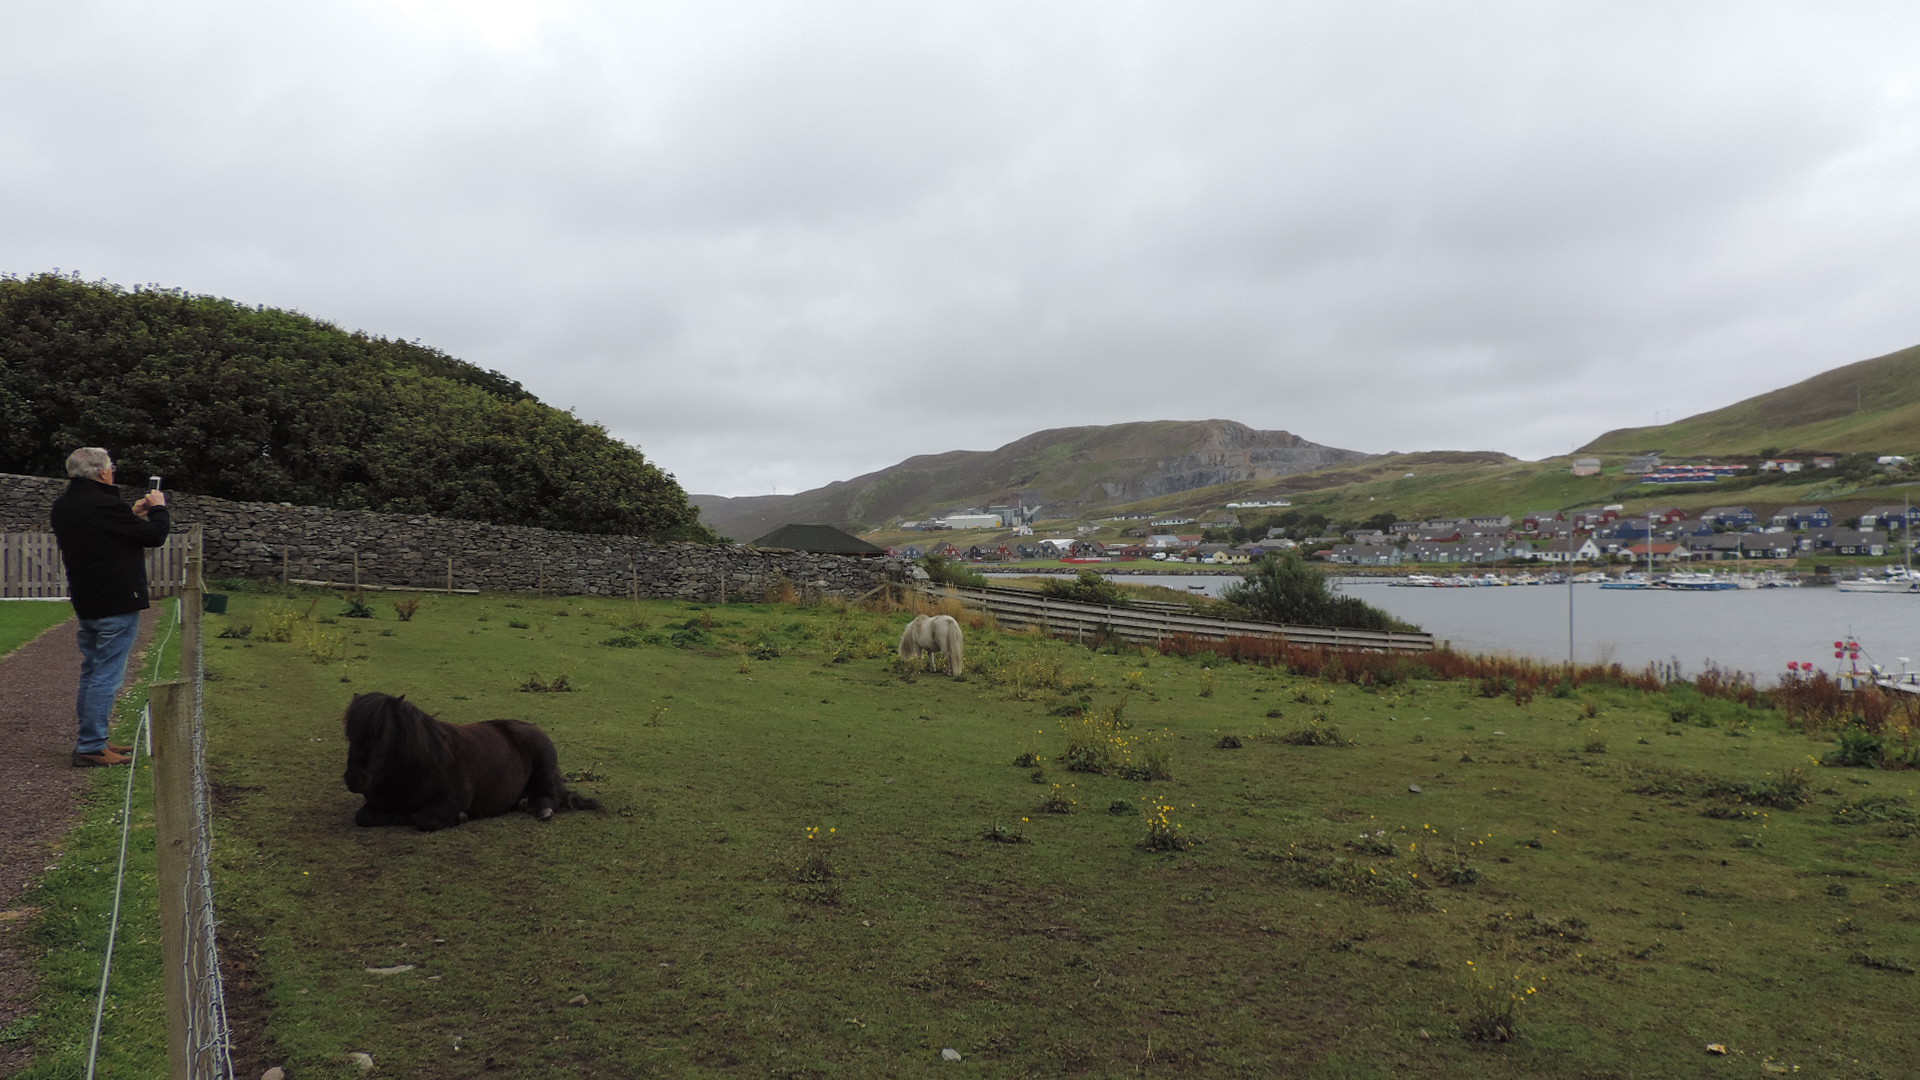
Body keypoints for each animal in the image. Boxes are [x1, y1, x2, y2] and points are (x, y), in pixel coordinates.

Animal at [341, 687, 599, 834]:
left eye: (378, 733)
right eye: (349, 733)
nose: (353, 779)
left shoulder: (453, 799)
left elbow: (424, 819)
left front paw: (460, 817)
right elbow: (363, 817)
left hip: (543, 768)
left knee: (550, 797)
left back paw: (541, 808)